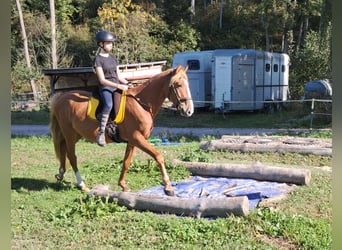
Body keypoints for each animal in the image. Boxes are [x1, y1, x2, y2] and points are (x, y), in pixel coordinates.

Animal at [48, 64, 194, 195]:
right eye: (178, 85)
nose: (189, 111)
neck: (141, 104)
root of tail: (61, 97)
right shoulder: (137, 138)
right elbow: (158, 156)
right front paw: (168, 186)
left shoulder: (132, 141)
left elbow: (126, 162)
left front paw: (123, 185)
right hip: (69, 134)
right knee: (72, 156)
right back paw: (82, 184)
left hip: (75, 134)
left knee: (63, 150)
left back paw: (60, 174)